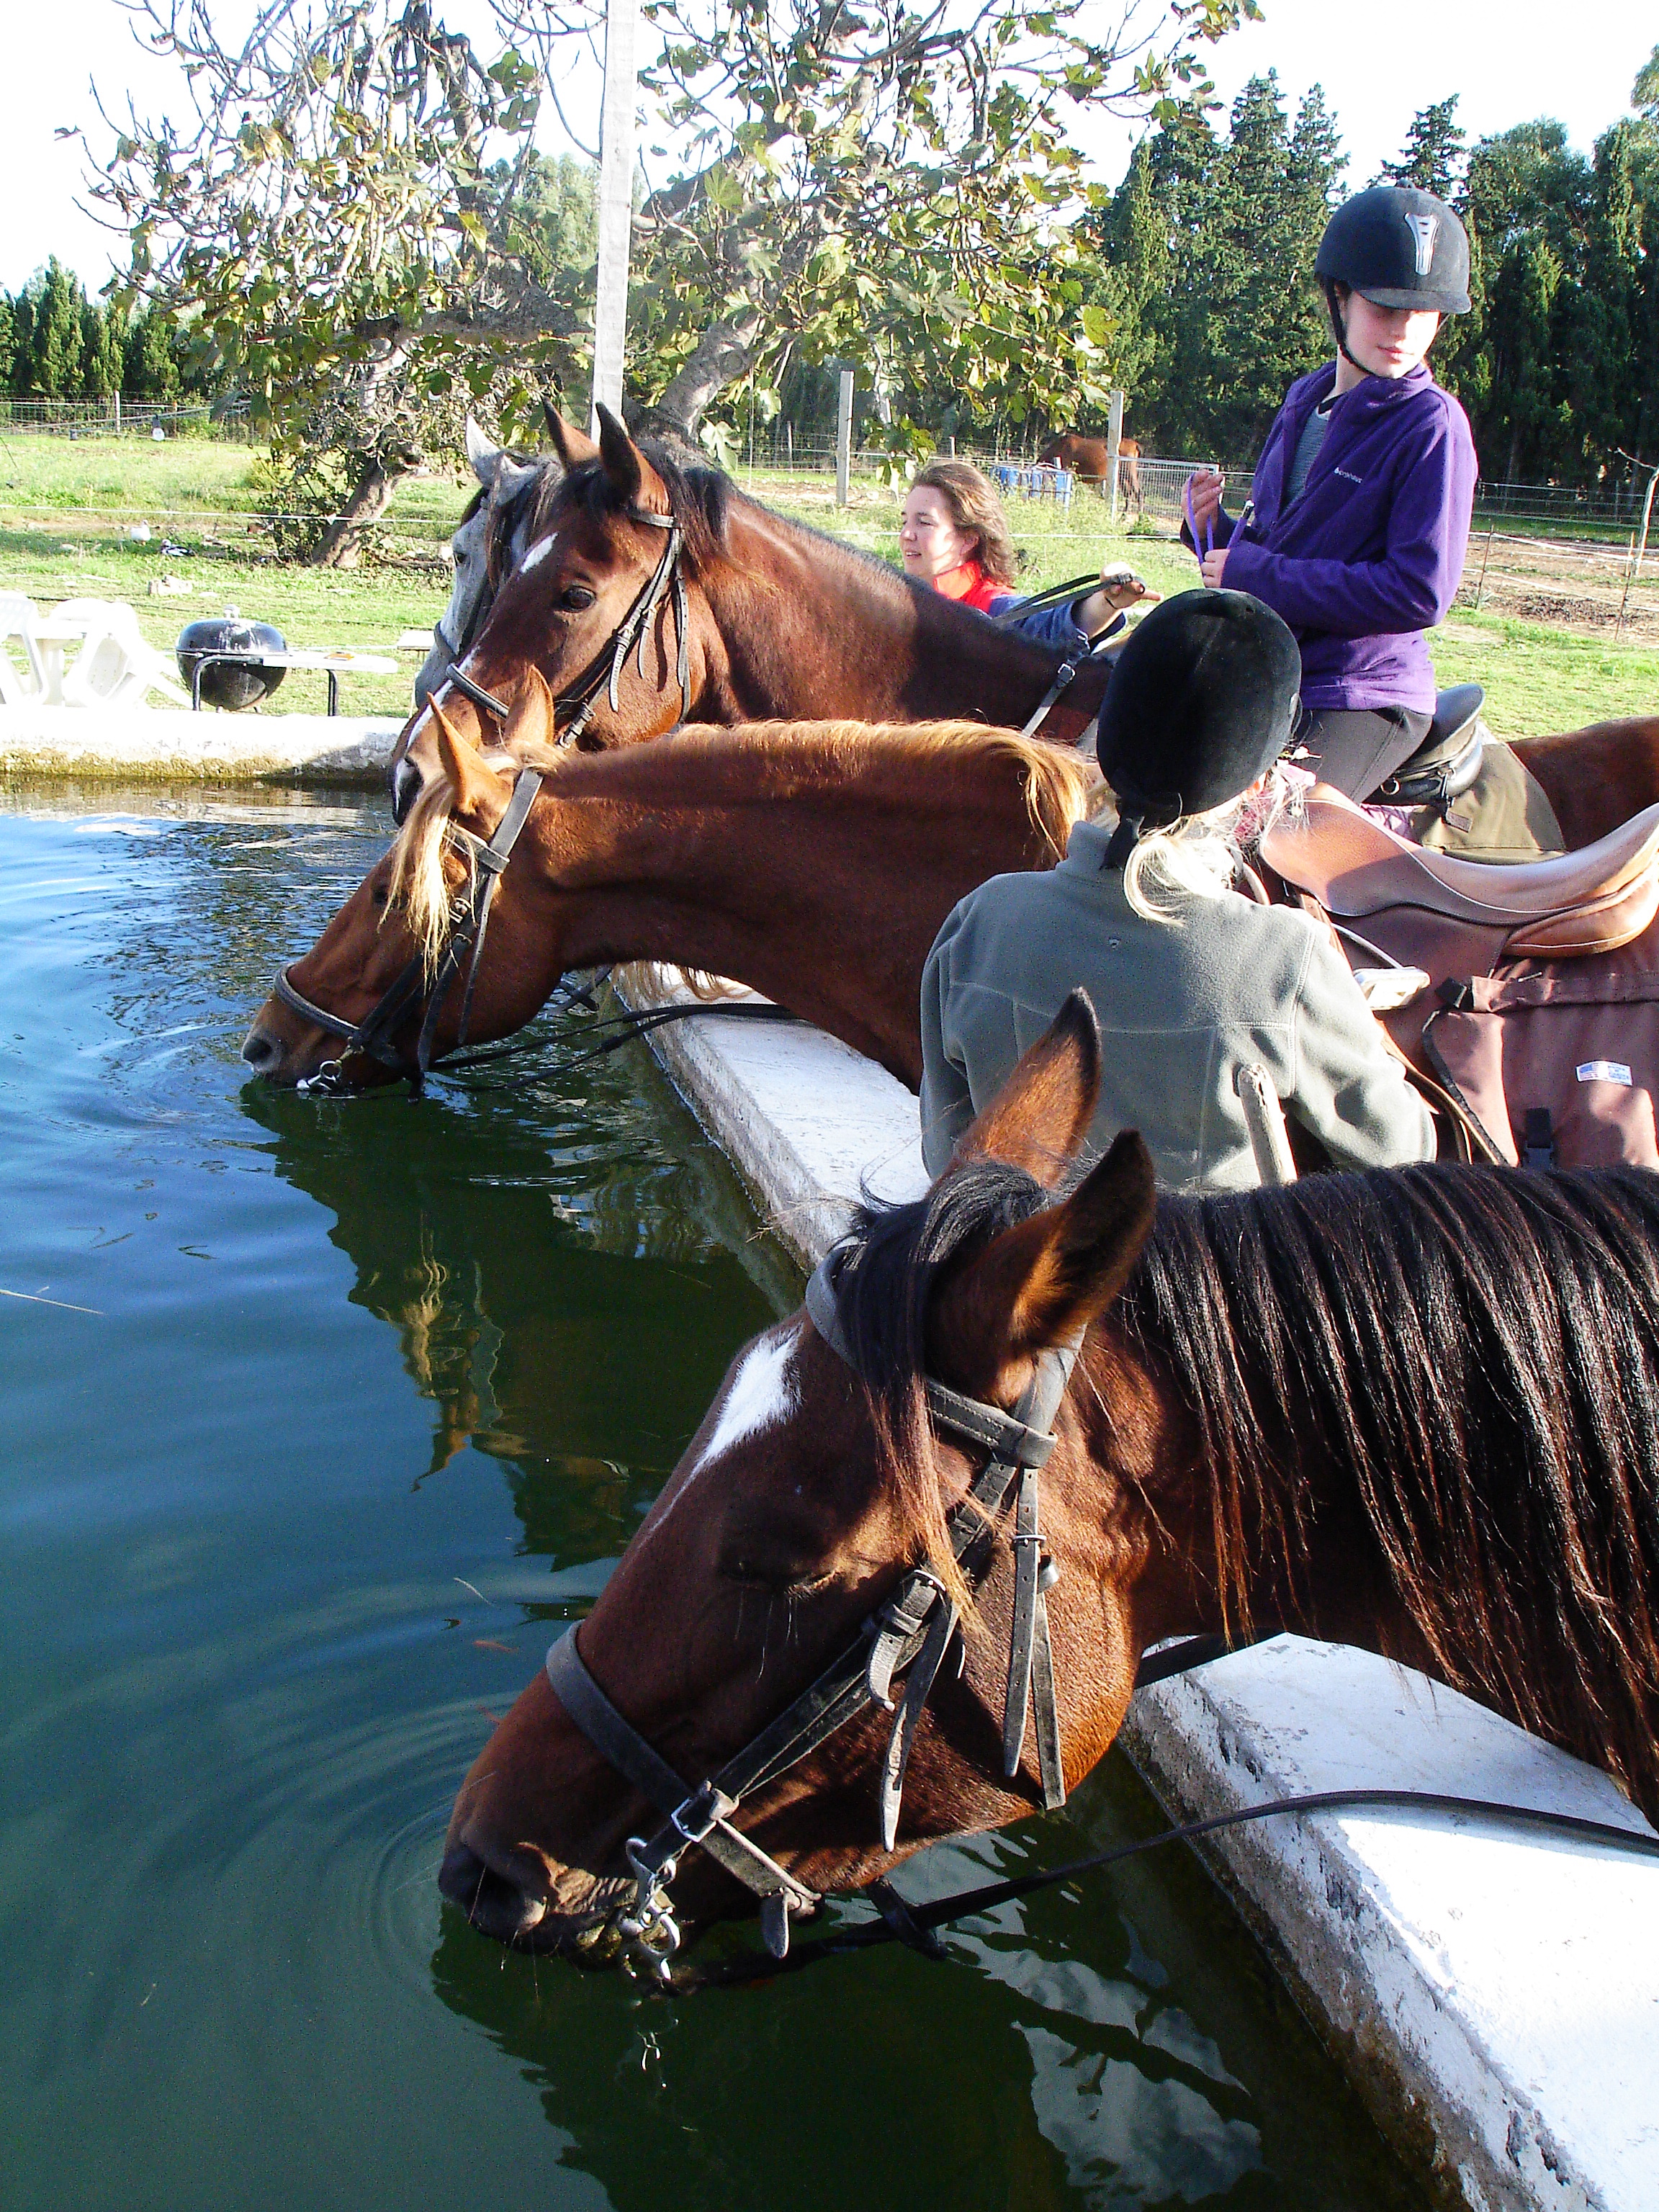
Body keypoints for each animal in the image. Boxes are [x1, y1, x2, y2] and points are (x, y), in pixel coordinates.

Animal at [1037, 431, 1144, 516]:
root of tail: (1136, 445)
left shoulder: (1069, 471)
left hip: (1129, 472)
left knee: (1138, 491)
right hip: (1121, 475)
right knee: (1128, 493)